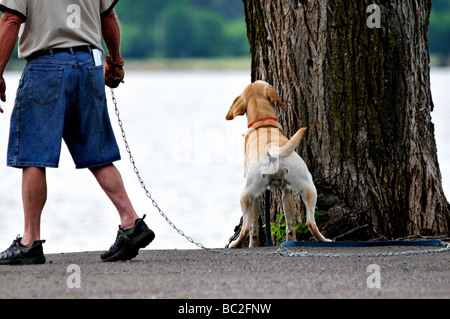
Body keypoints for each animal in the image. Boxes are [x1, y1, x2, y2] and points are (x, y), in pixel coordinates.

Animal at [227, 81, 328, 249]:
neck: (263, 124)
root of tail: (271, 146)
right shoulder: (286, 190)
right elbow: (290, 221)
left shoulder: (257, 196)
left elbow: (254, 226)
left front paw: (253, 245)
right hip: (308, 186)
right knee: (308, 223)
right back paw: (324, 240)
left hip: (246, 194)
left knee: (247, 227)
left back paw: (235, 244)